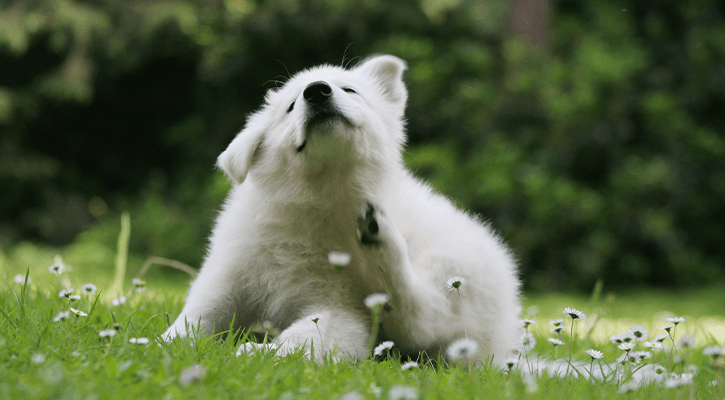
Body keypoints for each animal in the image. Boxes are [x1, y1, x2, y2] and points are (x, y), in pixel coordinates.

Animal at [162, 55, 522, 364]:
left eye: (350, 90)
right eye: (291, 106)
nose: (317, 91)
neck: (319, 198)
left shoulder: (340, 307)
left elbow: (304, 338)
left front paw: (259, 353)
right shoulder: (231, 270)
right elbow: (199, 313)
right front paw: (165, 344)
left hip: (457, 271)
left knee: (422, 319)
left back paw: (381, 238)